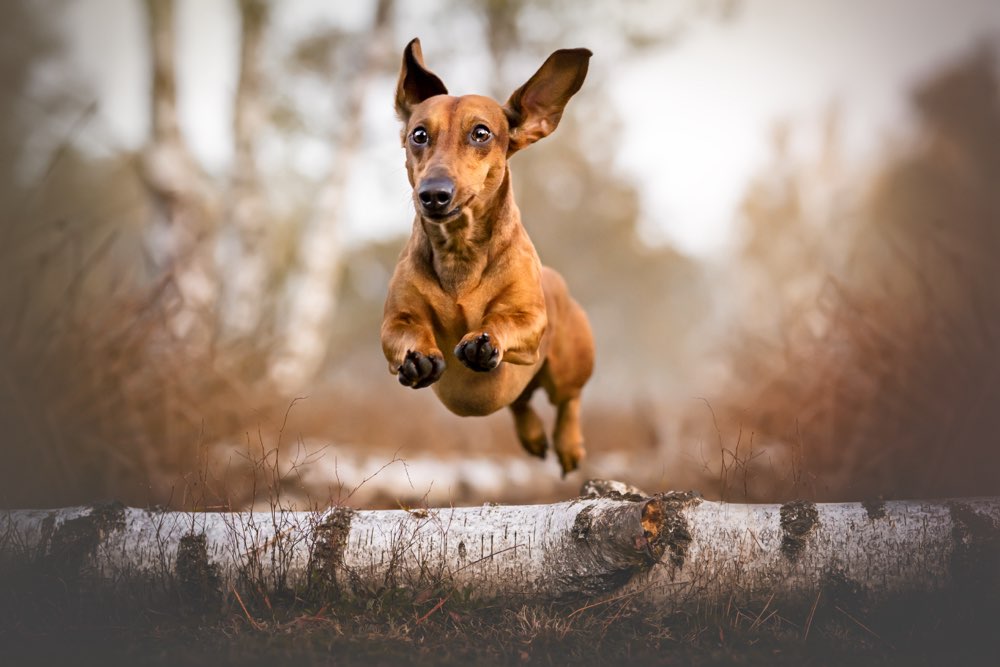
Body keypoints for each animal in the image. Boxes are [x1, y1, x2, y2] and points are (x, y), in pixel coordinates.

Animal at [378, 39, 588, 474]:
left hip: (568, 365)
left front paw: (483, 338)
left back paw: (568, 444)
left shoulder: (530, 319)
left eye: (481, 133)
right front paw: (417, 356)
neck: (460, 252)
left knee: (568, 400)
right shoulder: (396, 320)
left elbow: (507, 320)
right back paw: (533, 436)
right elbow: (403, 331)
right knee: (521, 403)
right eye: (419, 134)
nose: (434, 194)